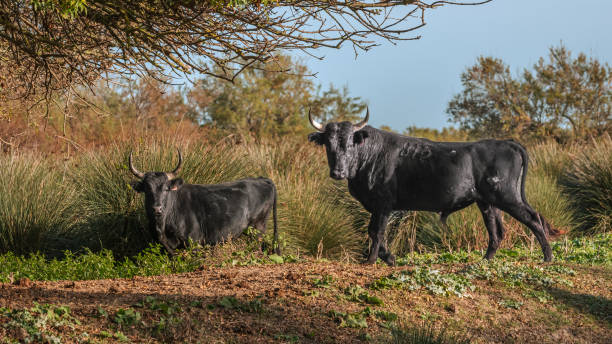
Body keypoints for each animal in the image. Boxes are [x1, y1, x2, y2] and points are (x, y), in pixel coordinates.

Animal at [131, 150, 282, 255]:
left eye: (166, 188)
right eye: (147, 189)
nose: (157, 209)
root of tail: (261, 179)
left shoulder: (194, 243)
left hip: (257, 228)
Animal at [308, 109, 560, 264]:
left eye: (350, 143)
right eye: (328, 144)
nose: (337, 172)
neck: (368, 157)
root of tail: (507, 142)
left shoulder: (383, 205)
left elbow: (376, 232)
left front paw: (371, 261)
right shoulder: (377, 207)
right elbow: (375, 232)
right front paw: (389, 258)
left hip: (507, 196)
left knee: (533, 218)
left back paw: (547, 257)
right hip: (488, 203)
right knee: (497, 231)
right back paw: (485, 260)